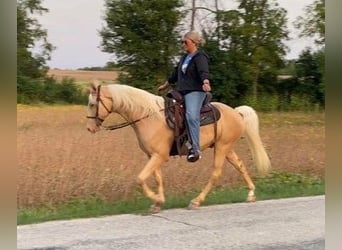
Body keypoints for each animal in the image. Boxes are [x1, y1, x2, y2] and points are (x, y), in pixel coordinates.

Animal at [85, 80, 270, 213]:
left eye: (93, 104)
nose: (90, 128)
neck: (148, 116)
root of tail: (236, 112)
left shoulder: (159, 155)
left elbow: (140, 178)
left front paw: (156, 199)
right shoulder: (153, 155)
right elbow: (157, 178)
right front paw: (158, 203)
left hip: (222, 147)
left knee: (216, 173)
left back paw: (196, 201)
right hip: (225, 147)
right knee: (240, 165)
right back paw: (251, 194)